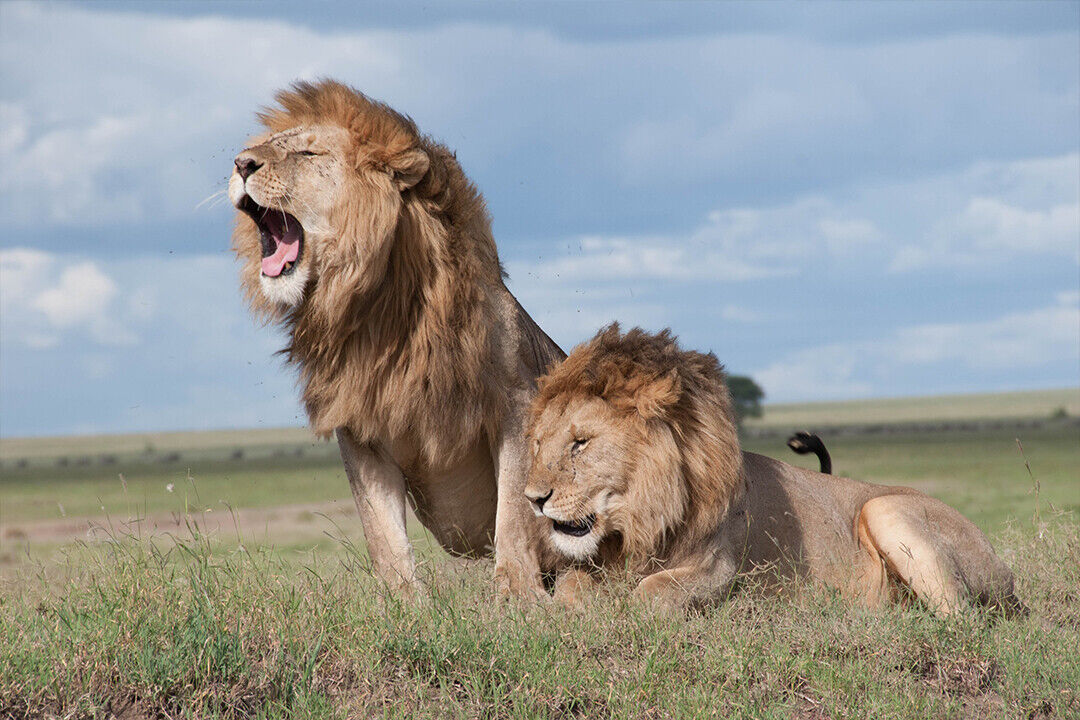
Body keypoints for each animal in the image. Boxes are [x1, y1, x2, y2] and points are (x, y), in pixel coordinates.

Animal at [229, 80, 563, 598]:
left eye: (307, 152)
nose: (241, 163)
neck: (377, 311)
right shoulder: (359, 427)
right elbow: (382, 532)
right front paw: (404, 604)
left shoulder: (516, 403)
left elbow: (513, 514)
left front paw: (518, 598)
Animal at [524, 324, 1021, 615]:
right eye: (538, 443)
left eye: (581, 443)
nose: (533, 499)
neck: (639, 521)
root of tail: (1006, 572)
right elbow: (570, 585)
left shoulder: (720, 569)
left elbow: (653, 592)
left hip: (886, 509)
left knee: (961, 620)